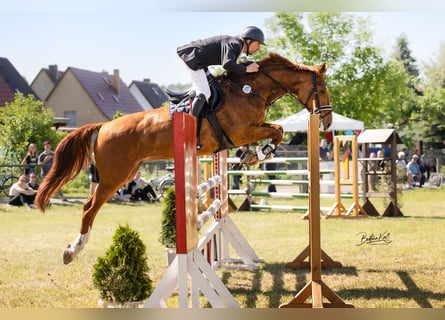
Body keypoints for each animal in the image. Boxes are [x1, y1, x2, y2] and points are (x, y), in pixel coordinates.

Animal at [35, 52, 330, 264]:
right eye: (323, 89)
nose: (326, 120)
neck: (250, 88)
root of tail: (104, 125)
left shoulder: (249, 130)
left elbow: (275, 130)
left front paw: (251, 154)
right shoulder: (242, 131)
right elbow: (277, 130)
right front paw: (259, 153)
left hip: (124, 173)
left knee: (90, 203)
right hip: (114, 177)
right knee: (89, 208)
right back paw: (73, 250)